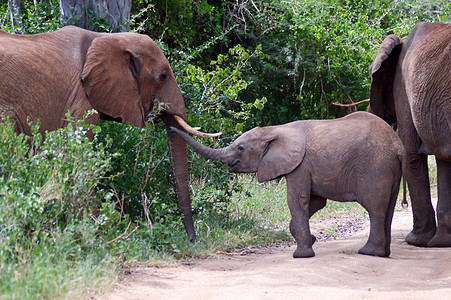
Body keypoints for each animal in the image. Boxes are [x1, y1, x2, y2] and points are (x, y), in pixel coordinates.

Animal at [0, 25, 219, 241]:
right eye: (163, 76)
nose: (193, 239)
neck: (106, 38)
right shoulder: (80, 99)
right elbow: (78, 154)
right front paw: (95, 234)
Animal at [170, 111, 406, 256]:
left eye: (240, 148)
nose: (170, 127)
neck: (274, 129)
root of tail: (398, 146)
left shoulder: (299, 165)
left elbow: (297, 200)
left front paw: (301, 255)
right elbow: (316, 203)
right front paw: (311, 239)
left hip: (375, 166)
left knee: (375, 208)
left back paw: (369, 252)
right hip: (389, 168)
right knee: (388, 209)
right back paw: (383, 254)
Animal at [370, 20, 450, 246]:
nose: (403, 204)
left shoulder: (403, 89)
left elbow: (412, 156)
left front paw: (415, 240)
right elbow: (443, 160)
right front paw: (441, 242)